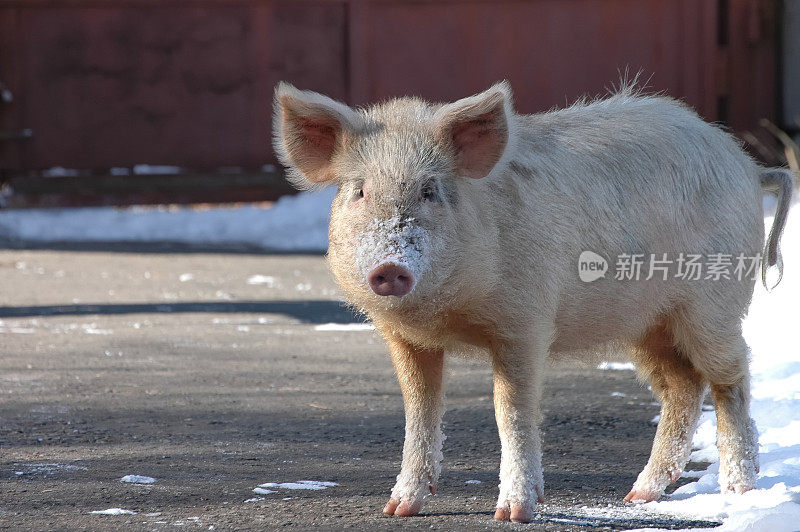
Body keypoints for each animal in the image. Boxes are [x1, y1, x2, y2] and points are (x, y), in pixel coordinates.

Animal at [270, 81, 792, 520]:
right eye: (359, 191)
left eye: (430, 191)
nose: (389, 267)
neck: (448, 313)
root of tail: (747, 167)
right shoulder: (404, 337)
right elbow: (420, 412)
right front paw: (398, 510)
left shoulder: (525, 323)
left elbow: (511, 411)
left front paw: (514, 514)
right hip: (646, 323)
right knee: (683, 386)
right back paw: (637, 496)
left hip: (713, 303)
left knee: (731, 377)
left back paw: (740, 490)